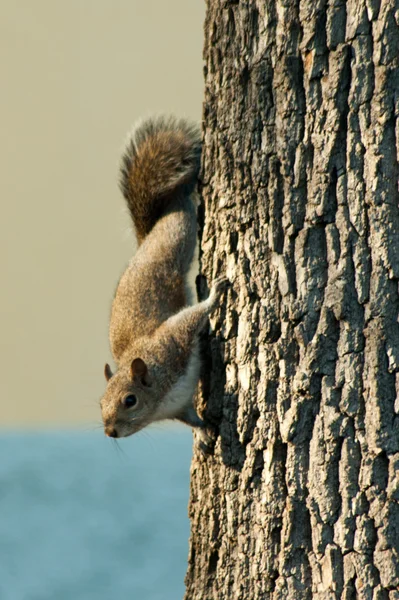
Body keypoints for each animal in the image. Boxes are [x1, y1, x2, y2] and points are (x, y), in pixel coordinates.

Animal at [101, 116, 228, 440]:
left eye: (130, 400)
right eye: (101, 402)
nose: (110, 432)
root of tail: (145, 242)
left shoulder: (172, 343)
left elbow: (191, 316)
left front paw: (214, 294)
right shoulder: (179, 407)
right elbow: (193, 419)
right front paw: (206, 433)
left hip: (176, 237)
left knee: (180, 211)